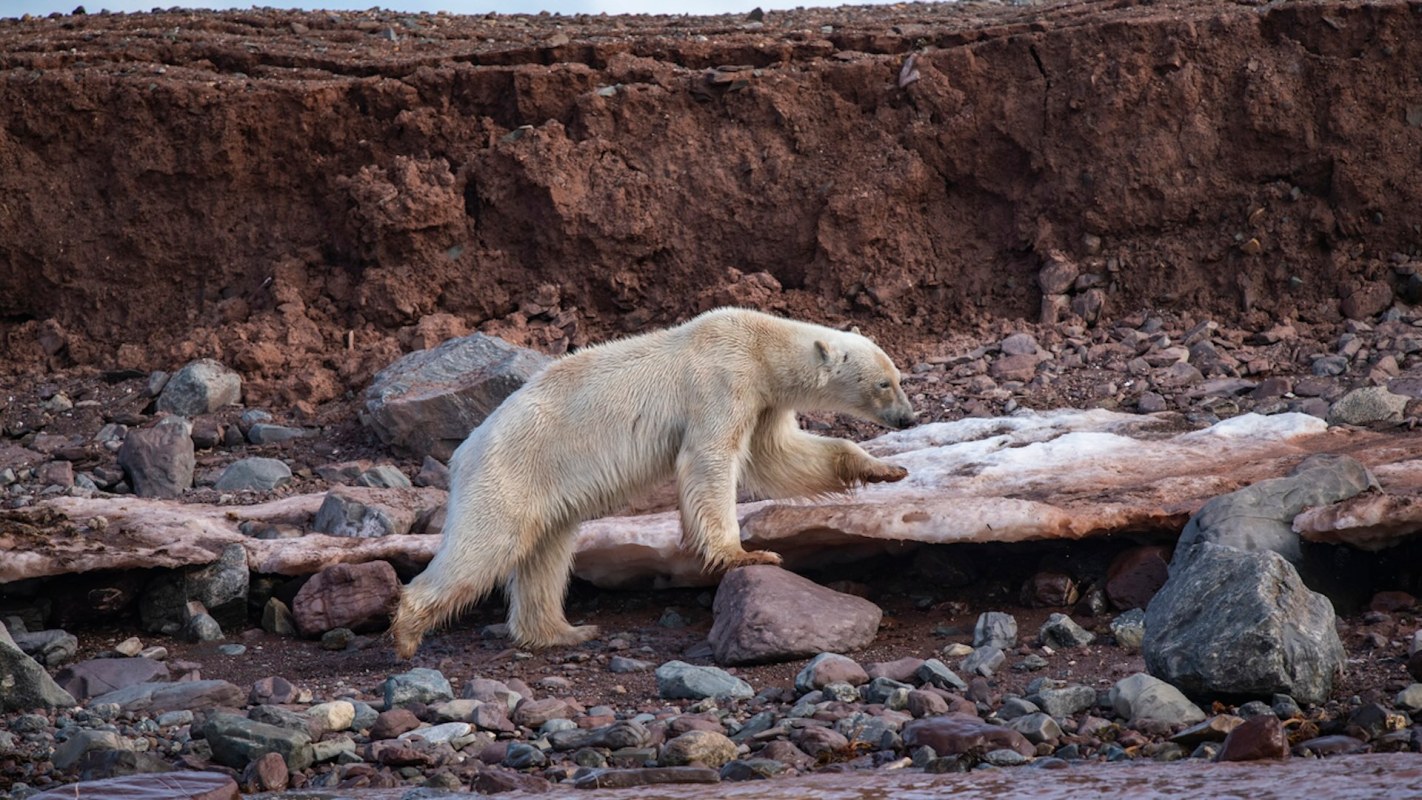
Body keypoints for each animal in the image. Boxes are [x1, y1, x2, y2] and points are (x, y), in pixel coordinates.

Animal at [395, 306, 915, 656]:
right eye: (883, 383)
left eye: (898, 376)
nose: (908, 418)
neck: (758, 345)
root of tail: (463, 451)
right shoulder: (723, 383)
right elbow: (711, 458)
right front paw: (746, 554)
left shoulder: (764, 400)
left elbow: (778, 458)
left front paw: (884, 468)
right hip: (511, 473)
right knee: (486, 546)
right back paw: (407, 631)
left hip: (544, 491)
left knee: (546, 554)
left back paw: (564, 632)